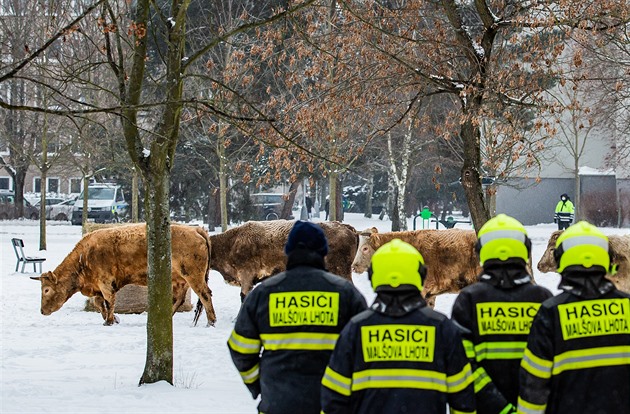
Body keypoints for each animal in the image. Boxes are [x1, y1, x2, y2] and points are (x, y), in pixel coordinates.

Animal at [32, 223, 220, 326]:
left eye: (46, 290)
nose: (42, 311)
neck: (84, 257)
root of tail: (196, 231)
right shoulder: (97, 287)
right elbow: (100, 303)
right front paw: (113, 319)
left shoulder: (105, 283)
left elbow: (109, 301)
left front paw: (109, 321)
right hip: (180, 280)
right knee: (179, 299)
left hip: (194, 277)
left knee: (205, 295)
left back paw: (211, 321)